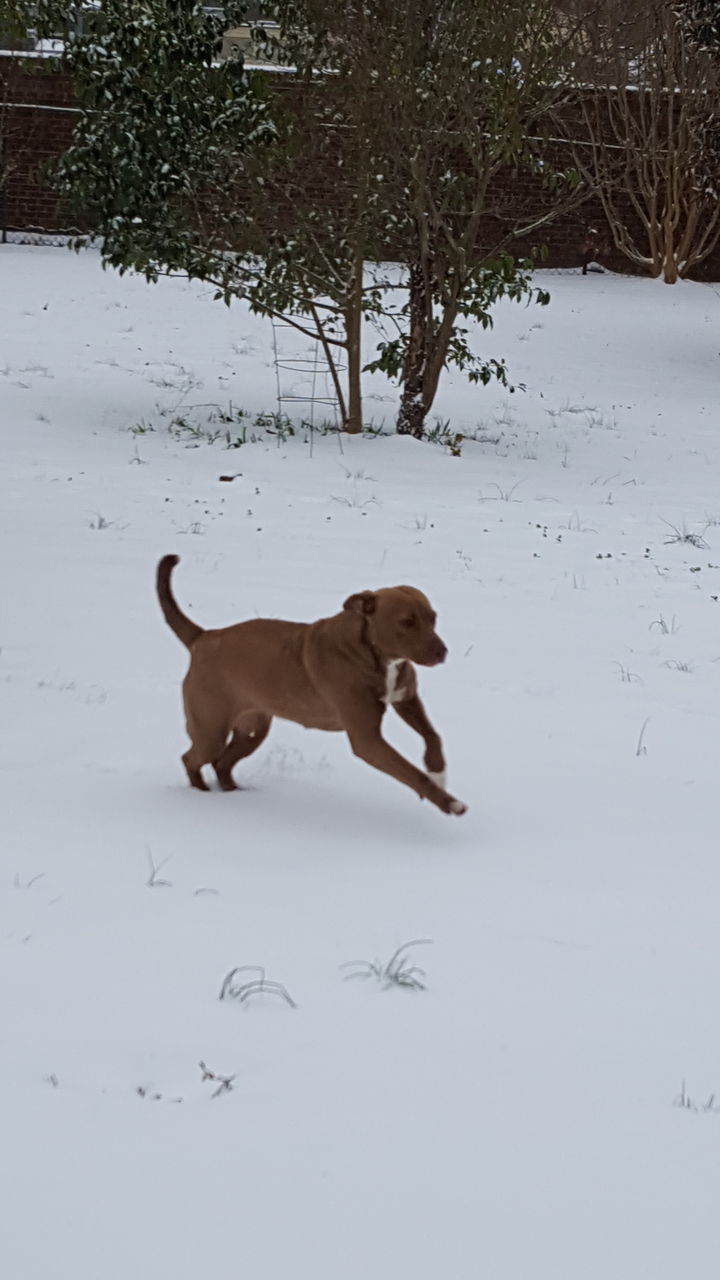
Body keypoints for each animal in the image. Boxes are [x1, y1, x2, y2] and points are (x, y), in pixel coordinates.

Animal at [155, 555, 466, 814]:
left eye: (433, 618)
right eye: (406, 622)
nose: (442, 651)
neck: (373, 652)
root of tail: (202, 637)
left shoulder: (406, 699)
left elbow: (433, 736)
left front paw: (437, 771)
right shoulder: (367, 739)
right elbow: (411, 773)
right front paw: (448, 802)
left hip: (252, 728)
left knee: (222, 763)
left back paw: (234, 794)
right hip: (210, 727)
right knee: (192, 758)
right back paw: (201, 795)